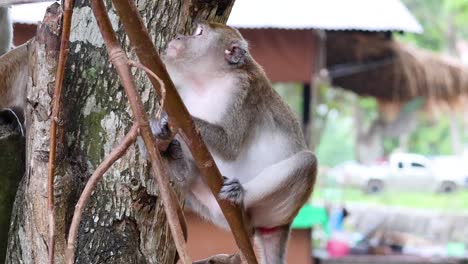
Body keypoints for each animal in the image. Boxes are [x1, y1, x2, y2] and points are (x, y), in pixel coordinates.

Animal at [150, 21, 318, 262]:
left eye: (199, 32)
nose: (179, 37)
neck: (208, 81)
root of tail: (283, 224)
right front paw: (158, 130)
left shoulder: (242, 90)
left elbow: (229, 145)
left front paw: (173, 119)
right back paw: (177, 163)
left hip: (276, 211)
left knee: (307, 162)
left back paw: (241, 195)